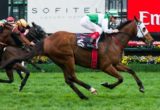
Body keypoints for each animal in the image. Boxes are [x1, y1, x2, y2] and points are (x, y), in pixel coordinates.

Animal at [1, 17, 154, 99]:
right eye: (144, 28)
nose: (151, 40)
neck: (114, 41)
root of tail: (47, 40)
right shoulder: (106, 66)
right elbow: (121, 78)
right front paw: (107, 84)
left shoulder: (116, 64)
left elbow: (131, 71)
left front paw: (141, 87)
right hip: (68, 58)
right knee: (73, 77)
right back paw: (91, 89)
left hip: (61, 61)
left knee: (68, 79)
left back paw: (83, 96)